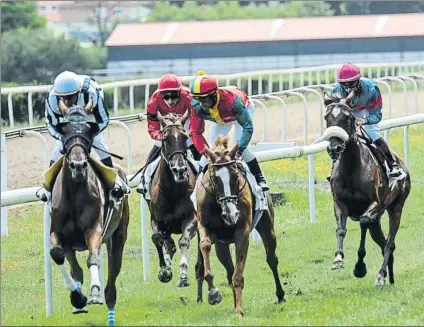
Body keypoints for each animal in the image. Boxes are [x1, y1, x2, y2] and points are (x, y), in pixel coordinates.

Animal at [47, 106, 129, 326]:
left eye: (88, 129)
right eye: (65, 130)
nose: (78, 165)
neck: (74, 193)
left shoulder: (94, 229)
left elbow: (93, 260)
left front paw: (93, 292)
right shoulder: (59, 233)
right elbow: (57, 255)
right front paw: (77, 297)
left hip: (118, 237)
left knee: (111, 281)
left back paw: (105, 300)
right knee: (76, 270)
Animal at [147, 111, 198, 288]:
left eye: (184, 137)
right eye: (165, 138)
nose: (179, 169)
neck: (173, 191)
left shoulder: (192, 218)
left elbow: (183, 241)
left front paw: (183, 276)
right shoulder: (157, 219)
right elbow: (158, 239)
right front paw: (164, 271)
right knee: (168, 244)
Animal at [195, 136, 284, 318]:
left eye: (235, 176)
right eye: (215, 179)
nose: (232, 214)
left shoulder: (242, 233)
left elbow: (238, 275)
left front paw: (239, 310)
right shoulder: (204, 227)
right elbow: (205, 245)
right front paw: (213, 293)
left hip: (267, 227)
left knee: (272, 259)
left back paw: (280, 295)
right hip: (221, 246)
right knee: (229, 270)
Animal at [322, 98, 410, 288]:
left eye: (347, 118)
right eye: (327, 117)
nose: (334, 148)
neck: (351, 167)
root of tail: (401, 162)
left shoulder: (374, 204)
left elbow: (363, 222)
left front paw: (360, 266)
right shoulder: (339, 203)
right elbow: (341, 229)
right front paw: (338, 259)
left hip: (396, 208)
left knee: (389, 243)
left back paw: (381, 275)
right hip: (377, 222)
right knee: (384, 242)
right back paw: (388, 276)